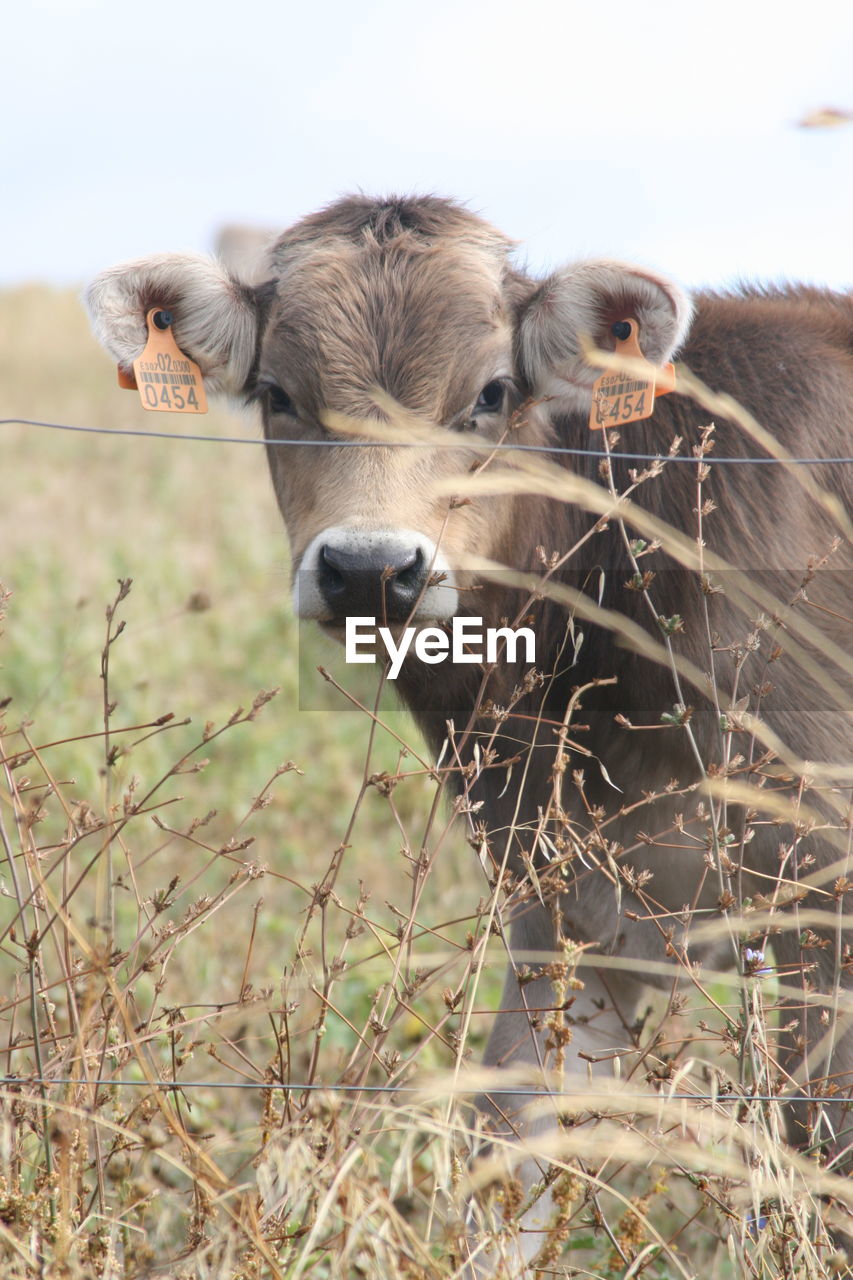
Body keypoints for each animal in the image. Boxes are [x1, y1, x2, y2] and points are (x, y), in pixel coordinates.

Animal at [87, 194, 850, 1264]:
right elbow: (506, 1153)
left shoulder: (821, 889)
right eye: (278, 394)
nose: (370, 569)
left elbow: (814, 1153)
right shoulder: (567, 899)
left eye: (491, 393)